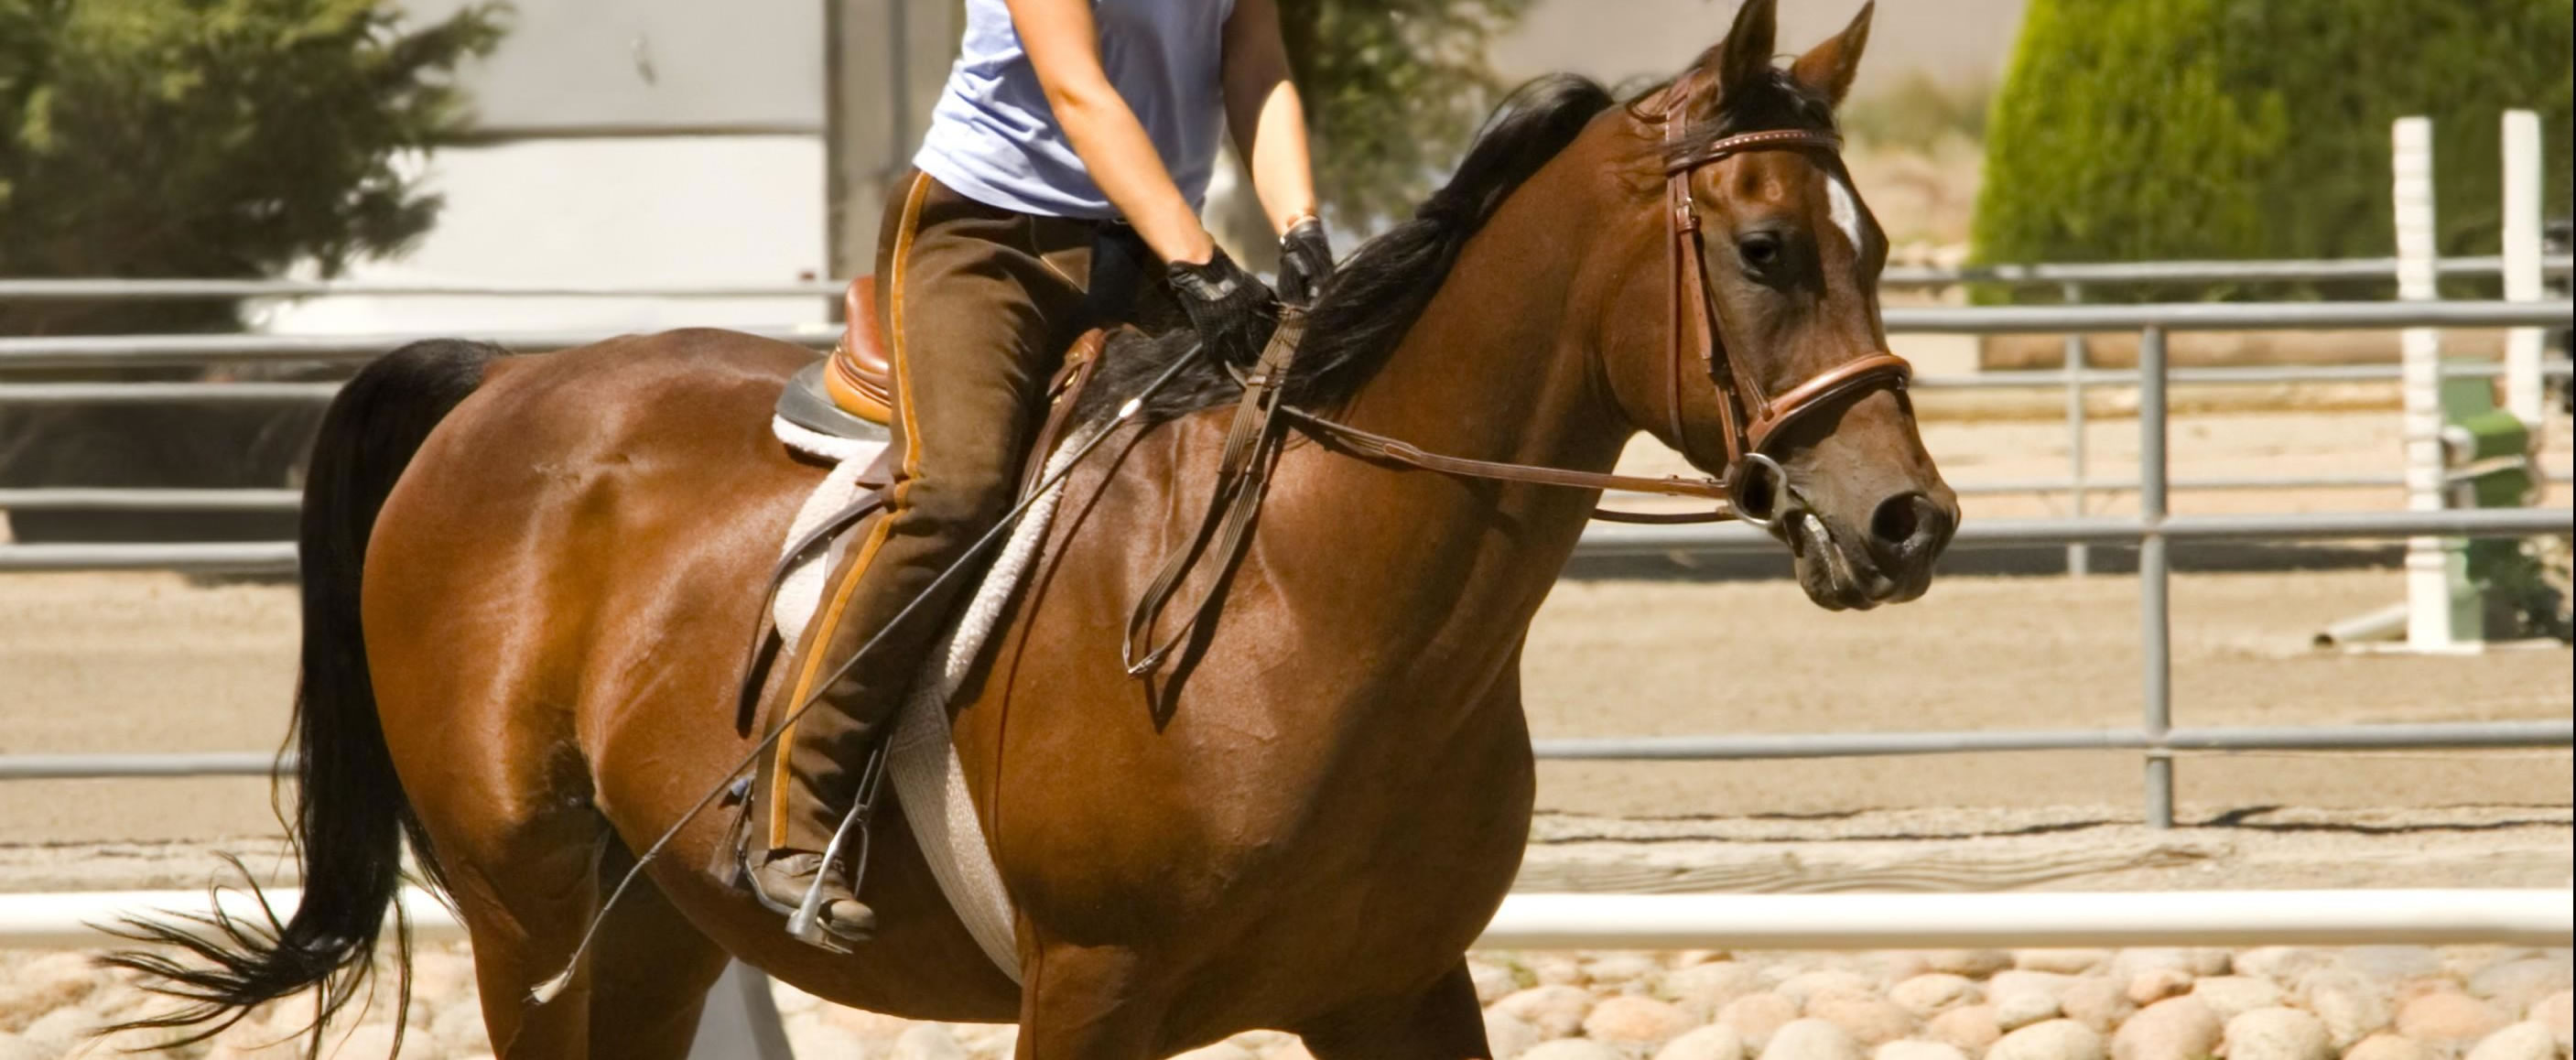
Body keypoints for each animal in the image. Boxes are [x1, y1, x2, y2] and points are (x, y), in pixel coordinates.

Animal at [111, 4, 1937, 1055]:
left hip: (650, 938)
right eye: (1765, 249)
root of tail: (501, 383)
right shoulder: (1091, 986)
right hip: (532, 915)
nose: (1908, 518)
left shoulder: (1397, 987)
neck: (1323, 597)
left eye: (1871, 242)